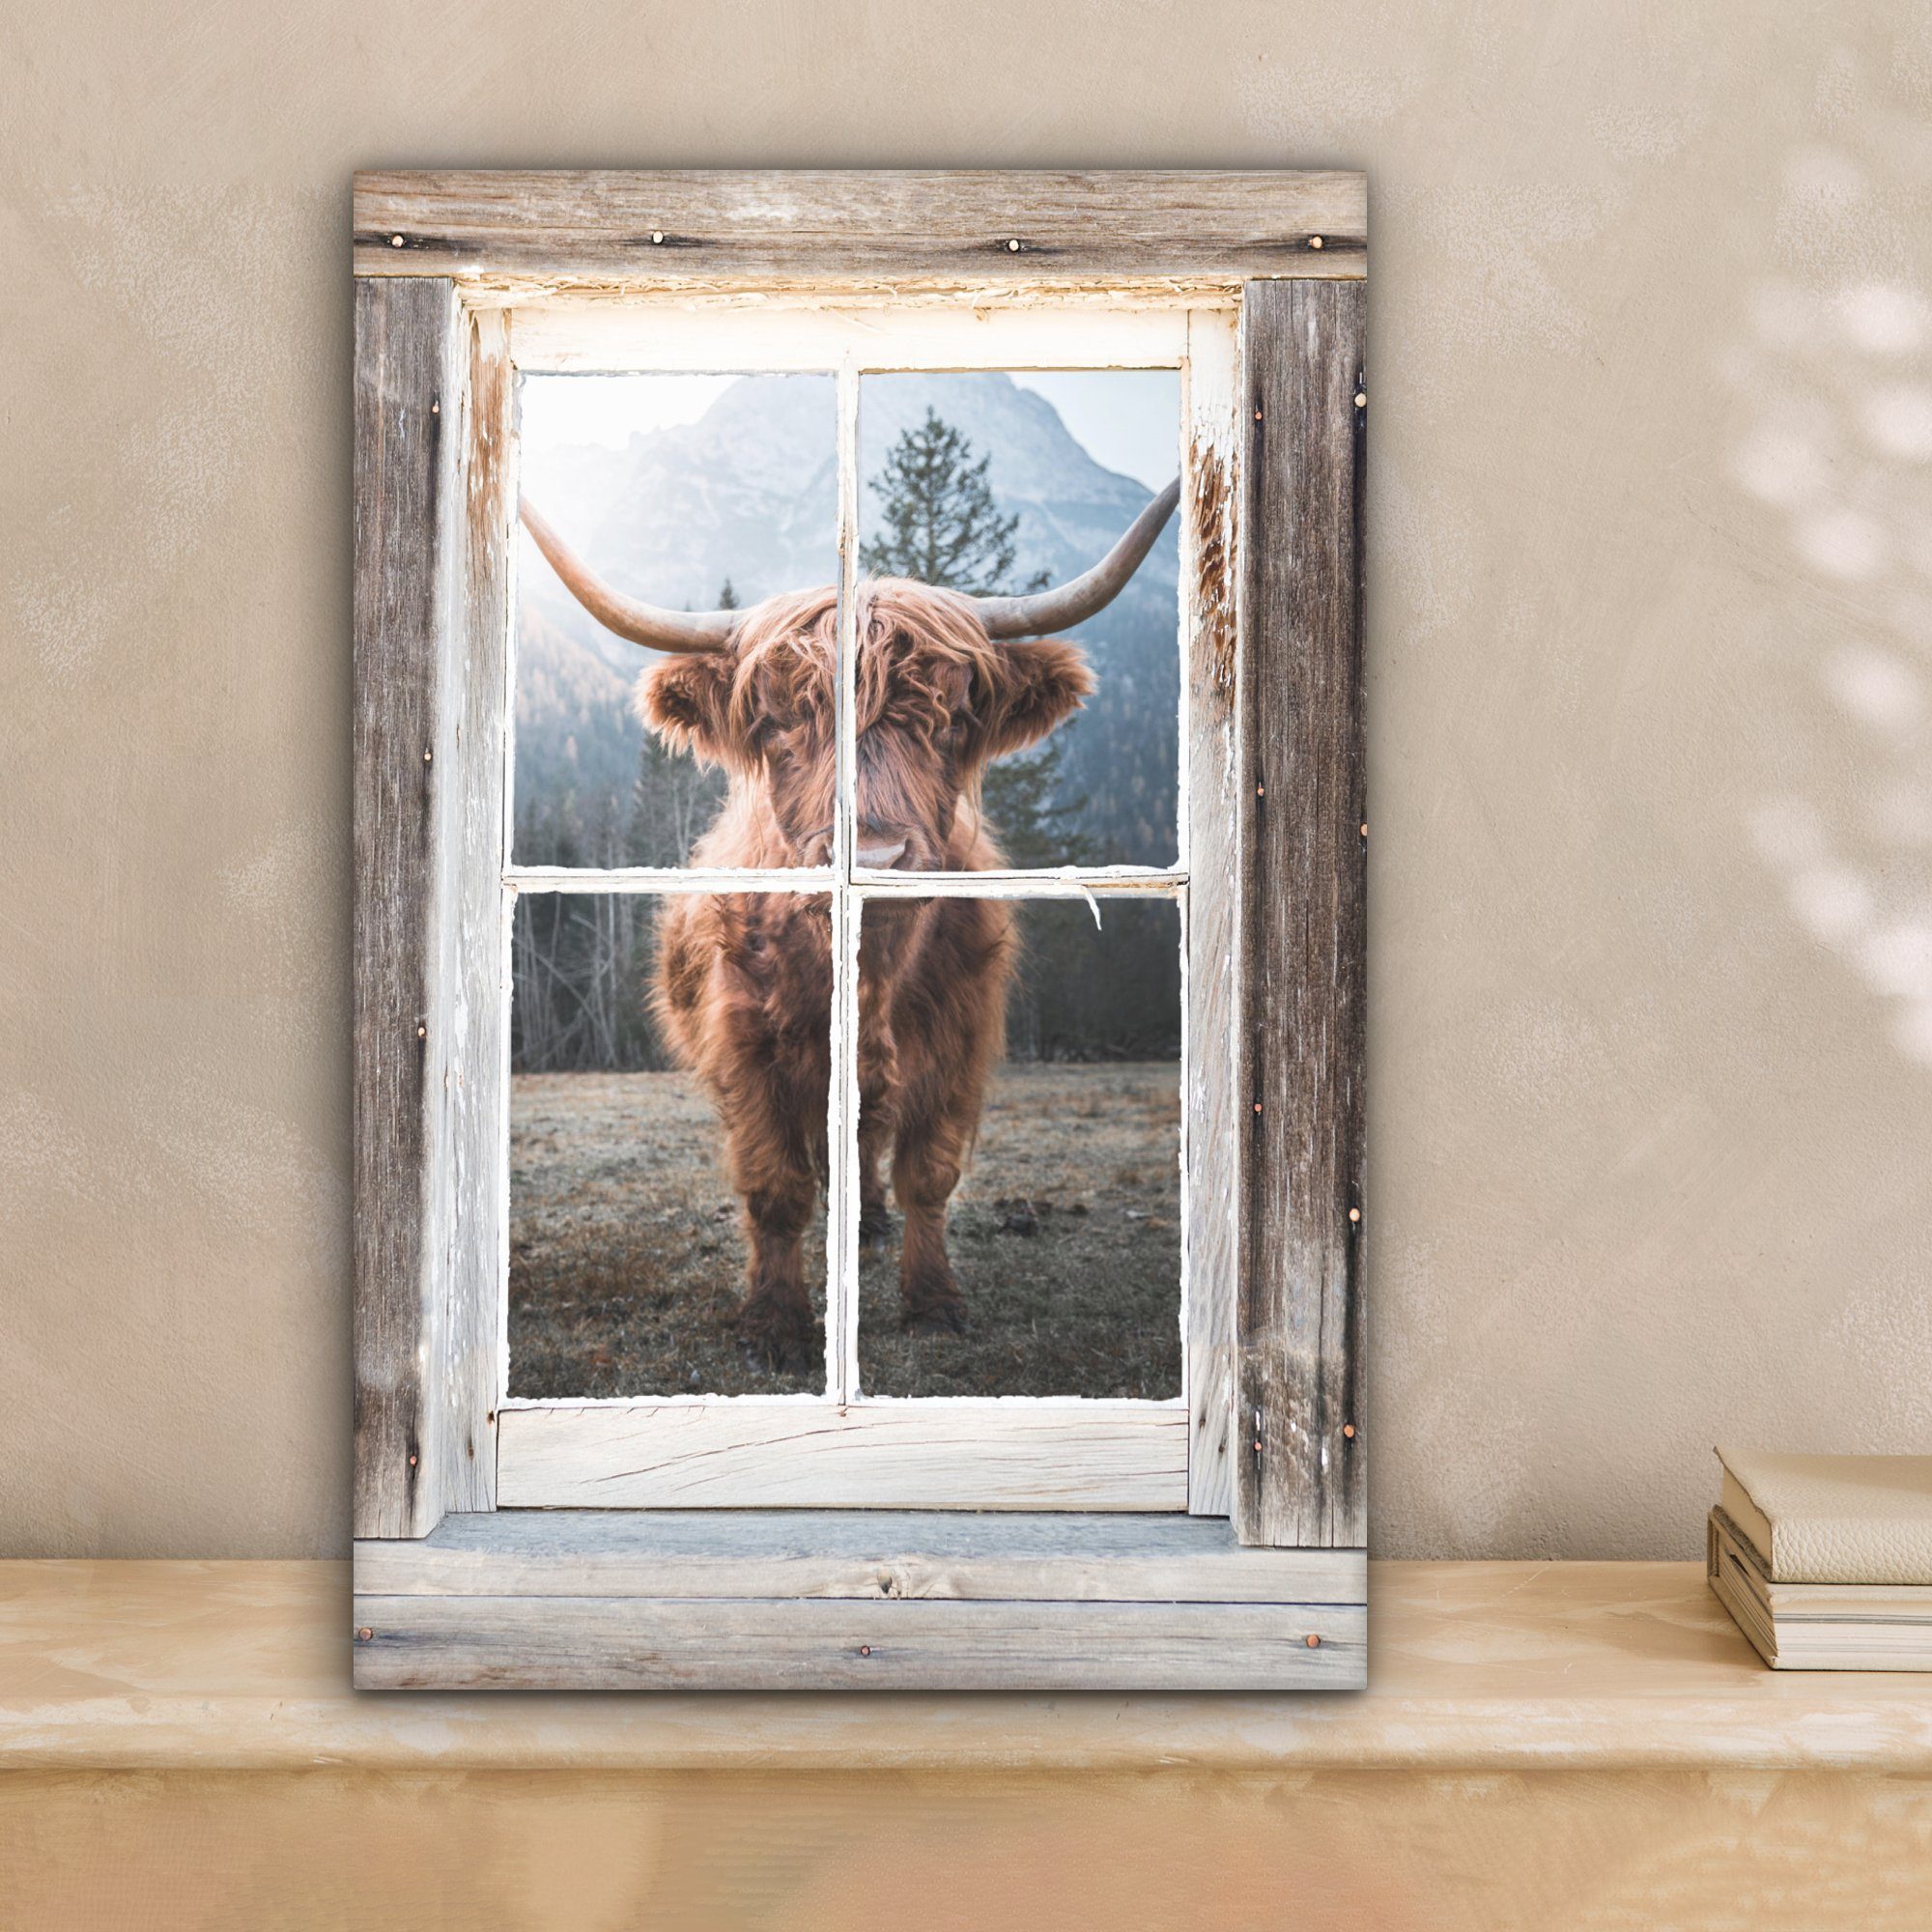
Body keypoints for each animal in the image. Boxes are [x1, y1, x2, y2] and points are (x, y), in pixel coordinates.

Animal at [519, 483, 1179, 1369]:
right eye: (775, 722)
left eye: (953, 716)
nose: (872, 855)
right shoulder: (746, 1048)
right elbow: (775, 1187)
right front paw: (773, 1323)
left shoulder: (956, 1041)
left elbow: (927, 1174)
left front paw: (932, 1301)